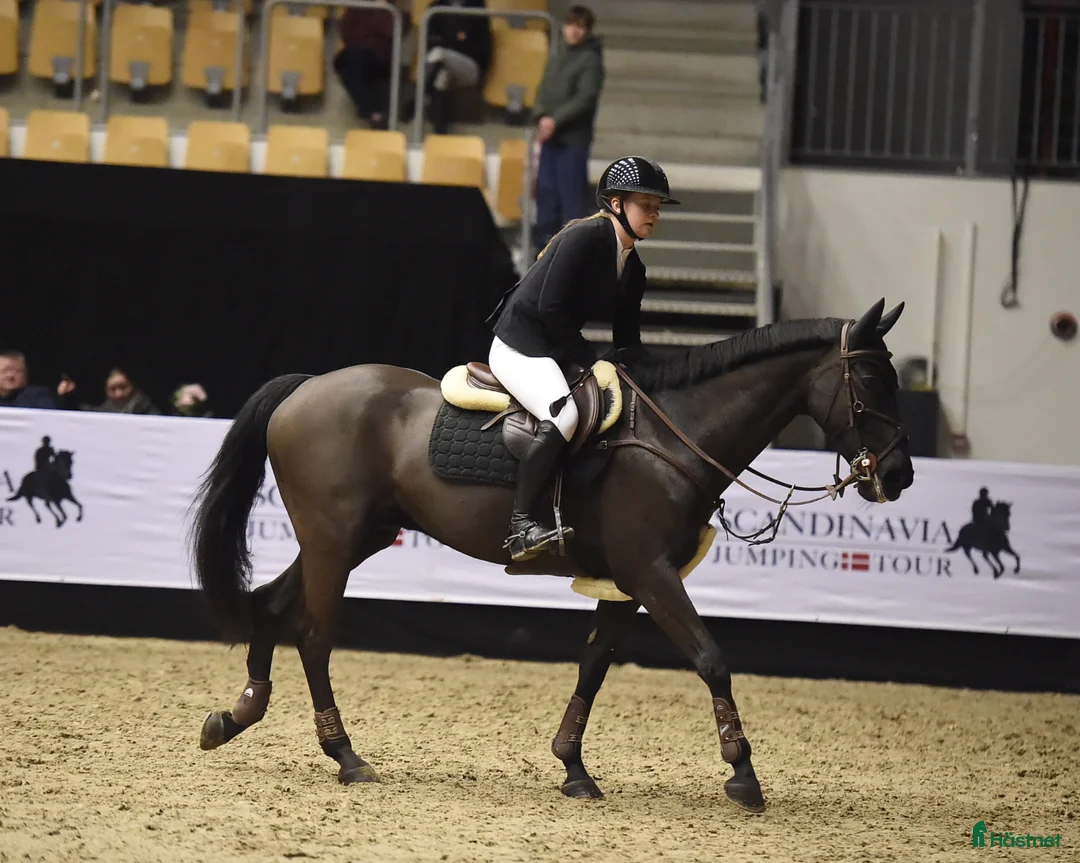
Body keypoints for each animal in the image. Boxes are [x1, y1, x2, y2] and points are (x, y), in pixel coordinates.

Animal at [191, 298, 914, 813]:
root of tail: (307, 387)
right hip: (335, 540)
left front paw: (573, 766)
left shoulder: (626, 582)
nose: (899, 475)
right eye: (870, 376)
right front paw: (742, 772)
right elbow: (711, 657)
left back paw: (237, 713)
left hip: (352, 536)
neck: (677, 436)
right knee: (314, 635)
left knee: (271, 604)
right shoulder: (652, 574)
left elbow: (593, 665)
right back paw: (344, 754)